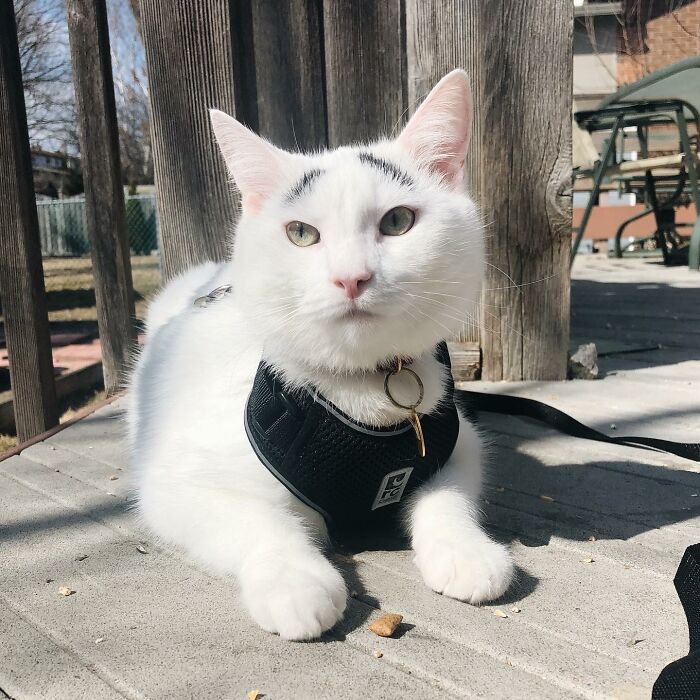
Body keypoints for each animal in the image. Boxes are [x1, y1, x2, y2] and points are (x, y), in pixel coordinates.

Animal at [129, 69, 516, 640]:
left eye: (398, 221)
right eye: (300, 233)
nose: (351, 277)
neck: (358, 389)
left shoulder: (458, 442)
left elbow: (448, 497)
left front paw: (466, 553)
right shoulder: (175, 480)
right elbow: (259, 521)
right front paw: (294, 581)